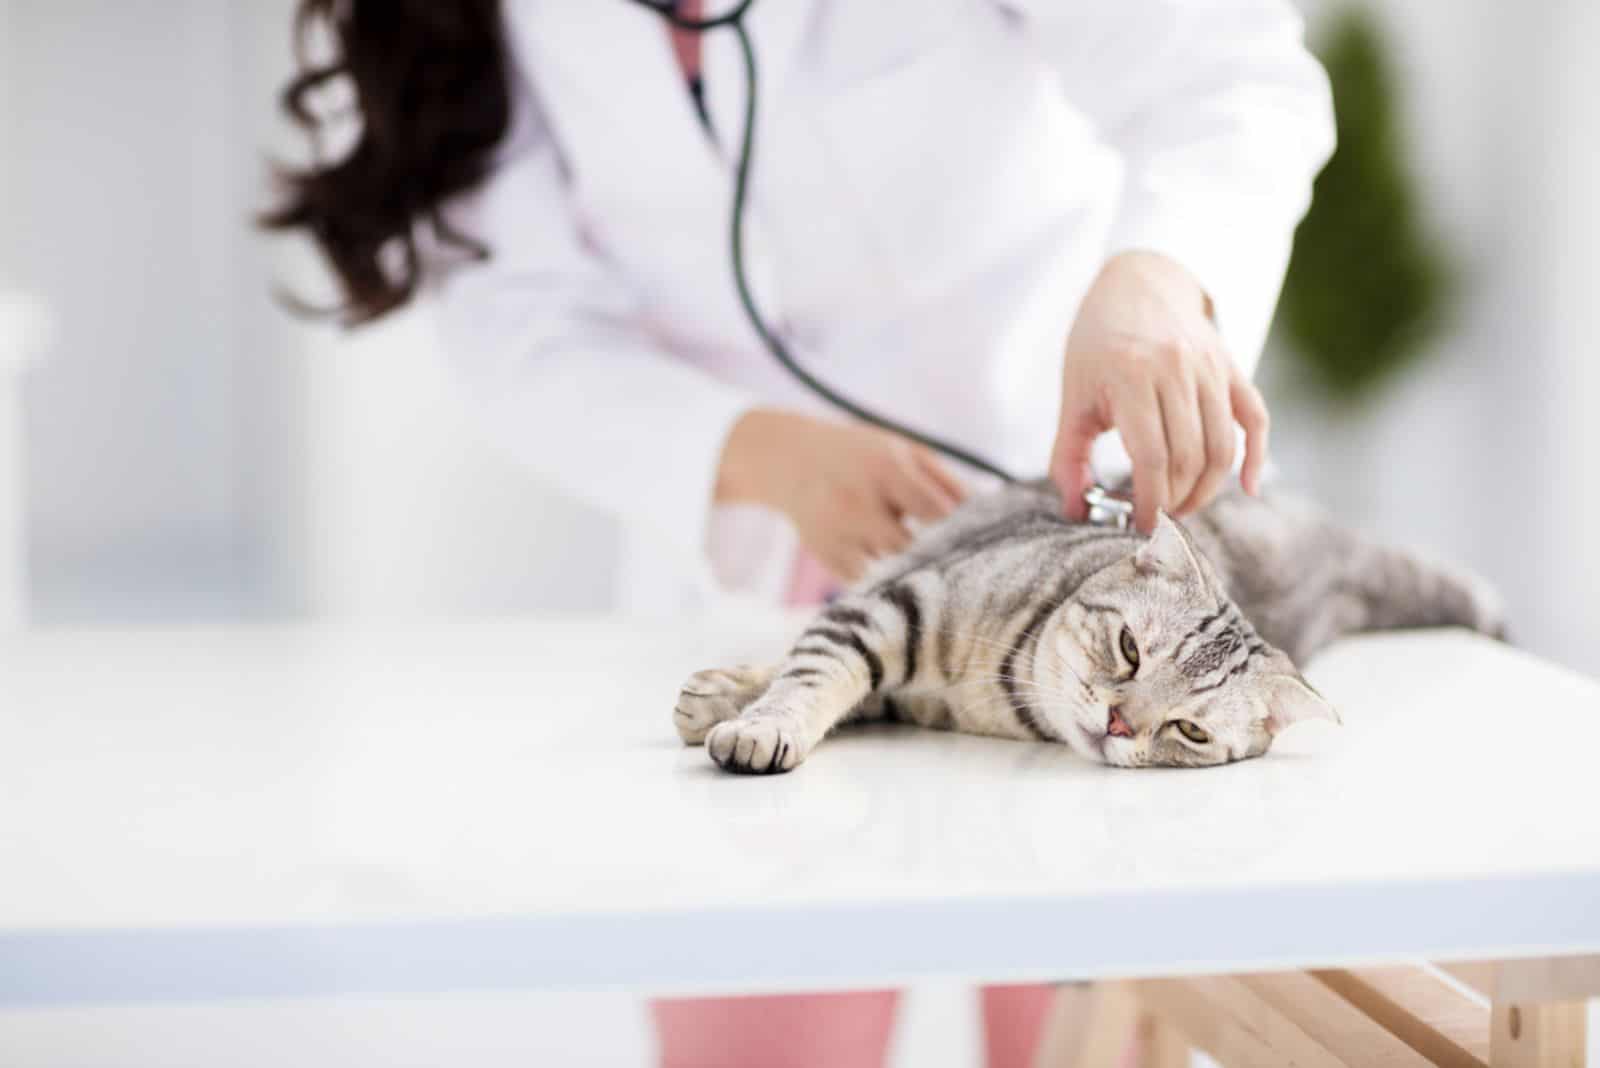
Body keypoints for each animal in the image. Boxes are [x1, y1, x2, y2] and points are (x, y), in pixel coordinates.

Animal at [672, 479, 1497, 770]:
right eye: (1130, 649)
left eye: (1190, 730)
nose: (1119, 724)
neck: (997, 695)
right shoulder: (895, 603)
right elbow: (814, 673)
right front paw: (757, 718)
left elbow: (833, 679)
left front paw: (738, 705)